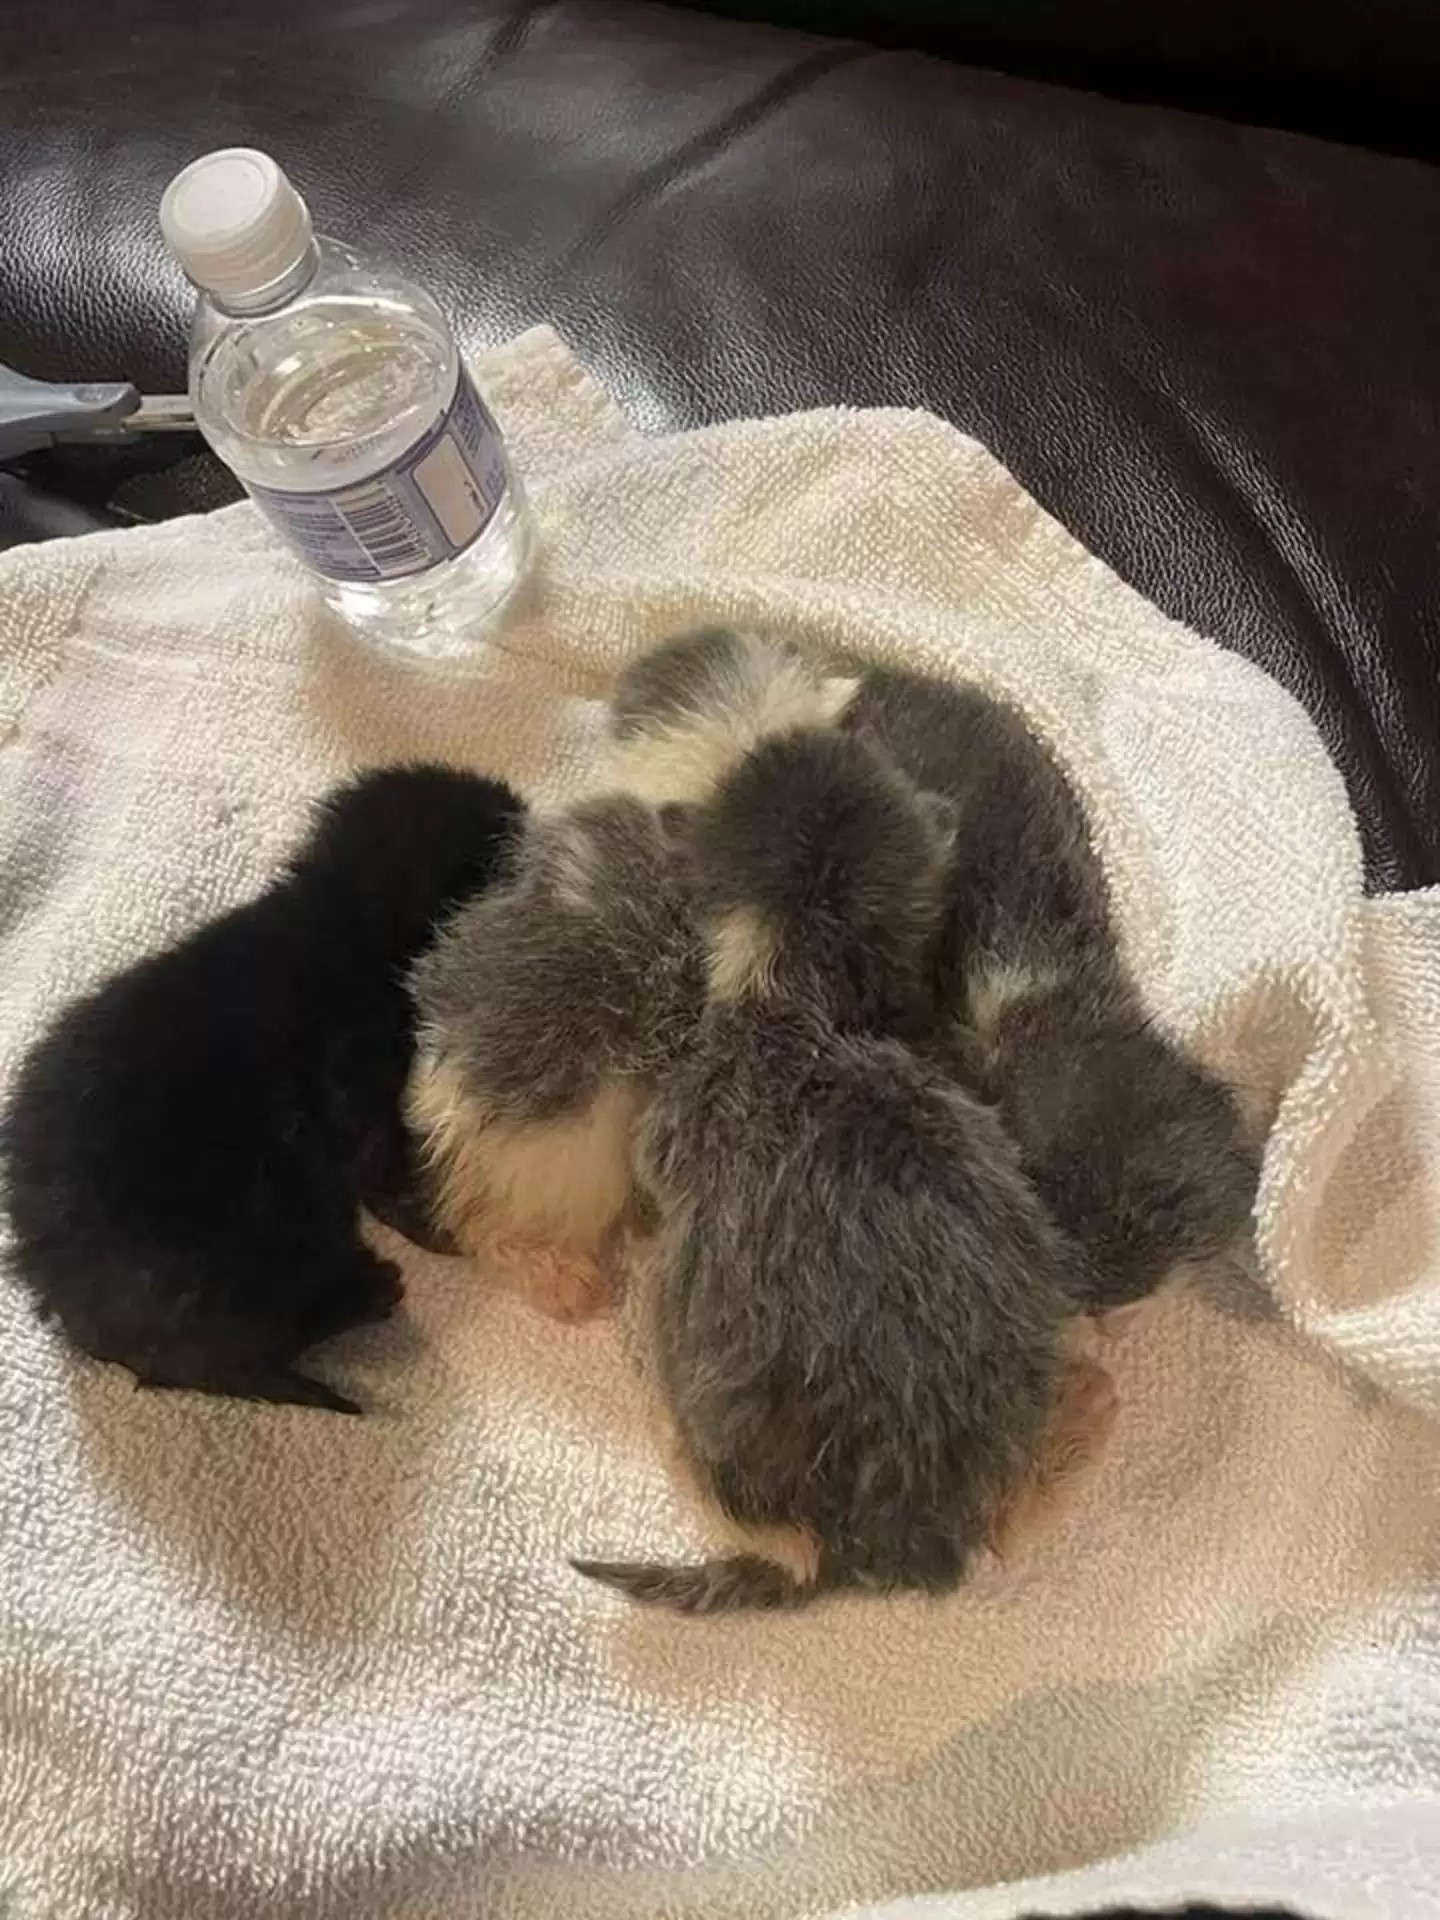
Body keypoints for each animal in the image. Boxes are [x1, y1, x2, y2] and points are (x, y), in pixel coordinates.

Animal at [1, 760, 526, 1413]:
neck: (346, 919)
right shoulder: (360, 1077)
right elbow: (382, 1165)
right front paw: (430, 1225)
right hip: (261, 1228)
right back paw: (367, 1292)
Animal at [568, 725, 1113, 1612]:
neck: (793, 994)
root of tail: (886, 1550)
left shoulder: (676, 1119)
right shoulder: (961, 1084)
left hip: (715, 1403)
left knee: (762, 1523)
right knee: (1007, 1523)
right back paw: (1084, 1412)